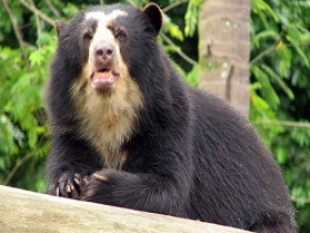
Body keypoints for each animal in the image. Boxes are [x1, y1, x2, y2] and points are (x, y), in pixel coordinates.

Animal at [45, 2, 296, 232]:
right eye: (87, 37)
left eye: (121, 35)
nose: (103, 52)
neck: (110, 110)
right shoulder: (73, 128)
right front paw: (69, 182)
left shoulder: (168, 120)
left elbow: (169, 189)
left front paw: (99, 183)